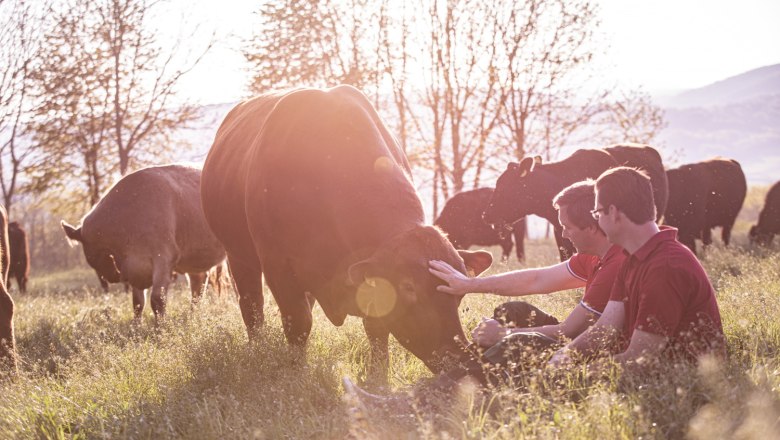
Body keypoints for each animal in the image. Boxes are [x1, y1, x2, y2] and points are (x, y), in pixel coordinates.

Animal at [61, 164, 227, 319]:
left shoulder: (164, 258)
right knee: (198, 286)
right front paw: (136, 327)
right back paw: (193, 316)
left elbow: (157, 300)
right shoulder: (135, 269)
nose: (112, 277)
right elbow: (137, 303)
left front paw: (161, 328)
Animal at [200, 86, 493, 377]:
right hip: (239, 257)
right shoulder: (279, 268)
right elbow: (298, 323)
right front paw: (297, 371)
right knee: (252, 309)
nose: (457, 357)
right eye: (409, 286)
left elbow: (376, 328)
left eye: (459, 291)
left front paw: (378, 374)